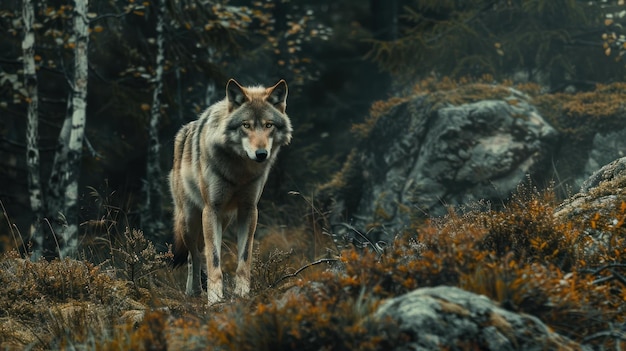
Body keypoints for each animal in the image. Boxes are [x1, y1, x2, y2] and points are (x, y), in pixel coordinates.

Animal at [167, 78, 292, 304]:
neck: (239, 170)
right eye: (246, 125)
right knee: (194, 255)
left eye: (268, 125)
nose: (261, 154)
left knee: (198, 251)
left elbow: (244, 259)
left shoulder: (249, 210)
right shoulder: (211, 209)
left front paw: (242, 294)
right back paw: (194, 292)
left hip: (222, 221)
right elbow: (215, 260)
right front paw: (215, 299)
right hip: (189, 220)